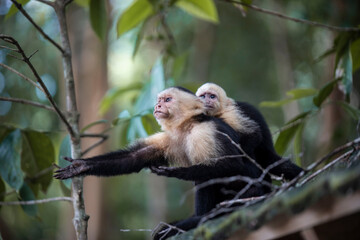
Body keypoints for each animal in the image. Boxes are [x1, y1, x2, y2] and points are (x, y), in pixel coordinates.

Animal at [54, 87, 272, 239]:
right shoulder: (169, 138)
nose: (157, 106)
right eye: (159, 100)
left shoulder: (206, 132)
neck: (187, 126)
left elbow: (235, 166)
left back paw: (197, 220)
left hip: (250, 190)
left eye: (167, 100)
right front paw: (80, 166)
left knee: (211, 176)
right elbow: (135, 158)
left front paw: (177, 173)